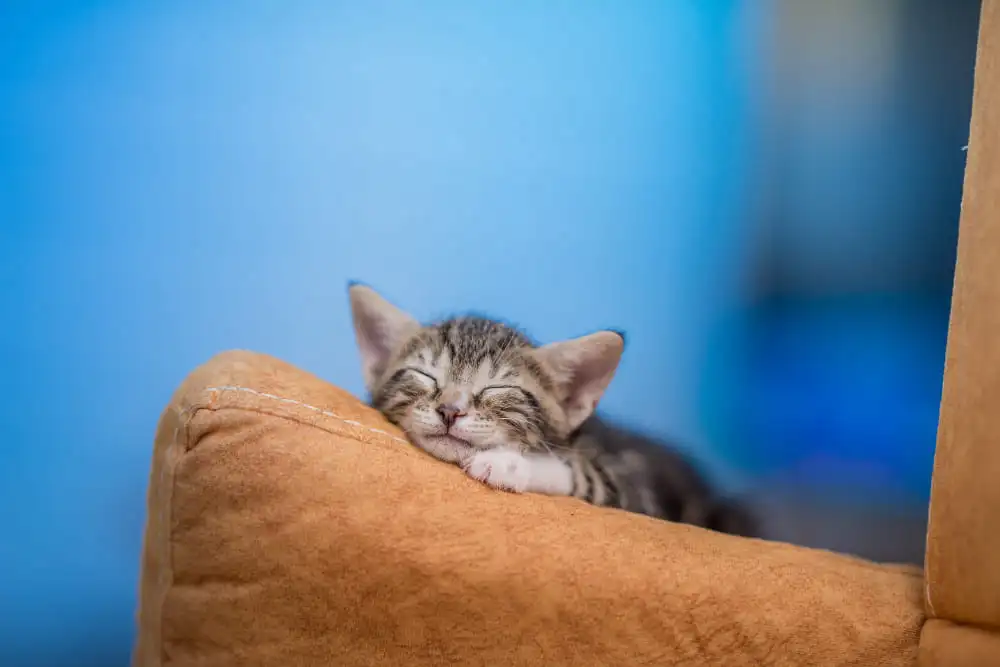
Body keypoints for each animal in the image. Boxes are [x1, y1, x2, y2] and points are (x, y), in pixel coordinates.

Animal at [348, 284, 752, 536]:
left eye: (497, 388)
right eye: (425, 375)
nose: (450, 410)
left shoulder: (640, 491)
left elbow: (579, 473)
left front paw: (506, 462)